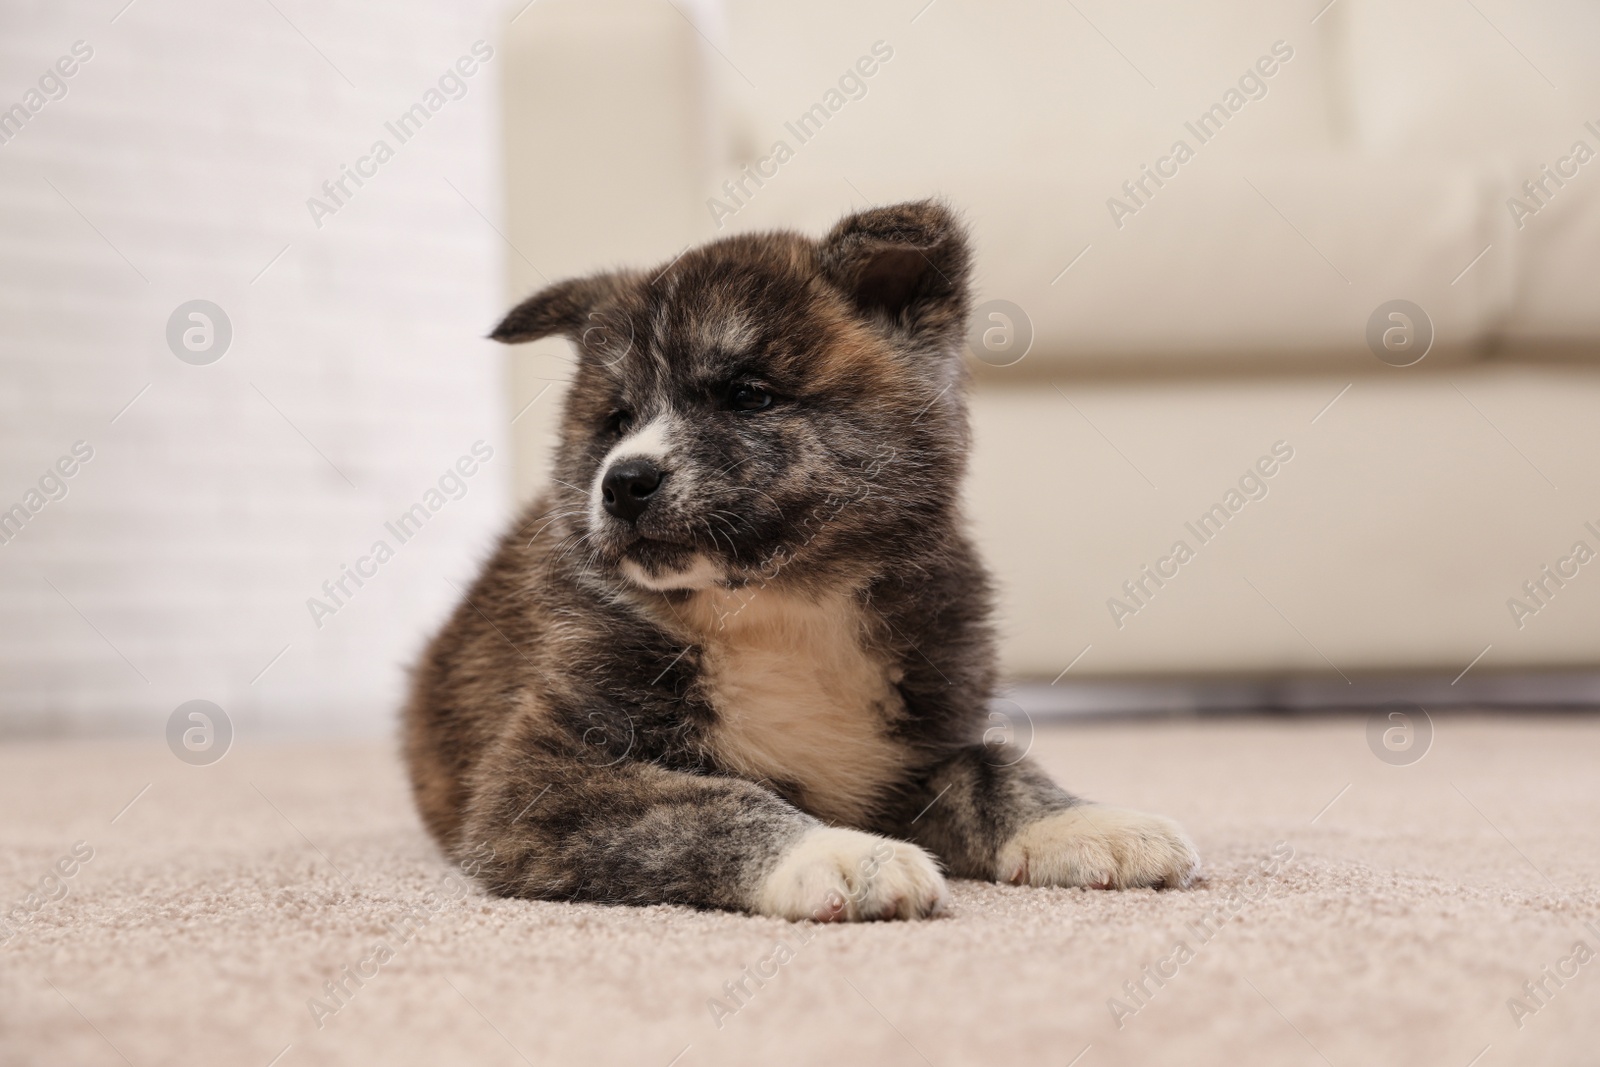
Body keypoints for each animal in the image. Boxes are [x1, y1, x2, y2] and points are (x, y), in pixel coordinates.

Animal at [406, 204, 1196, 921]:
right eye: (616, 420)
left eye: (748, 394)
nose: (623, 482)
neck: (781, 606)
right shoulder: (540, 775)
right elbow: (710, 801)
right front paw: (839, 853)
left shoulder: (915, 745)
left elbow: (997, 769)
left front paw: (1087, 822)